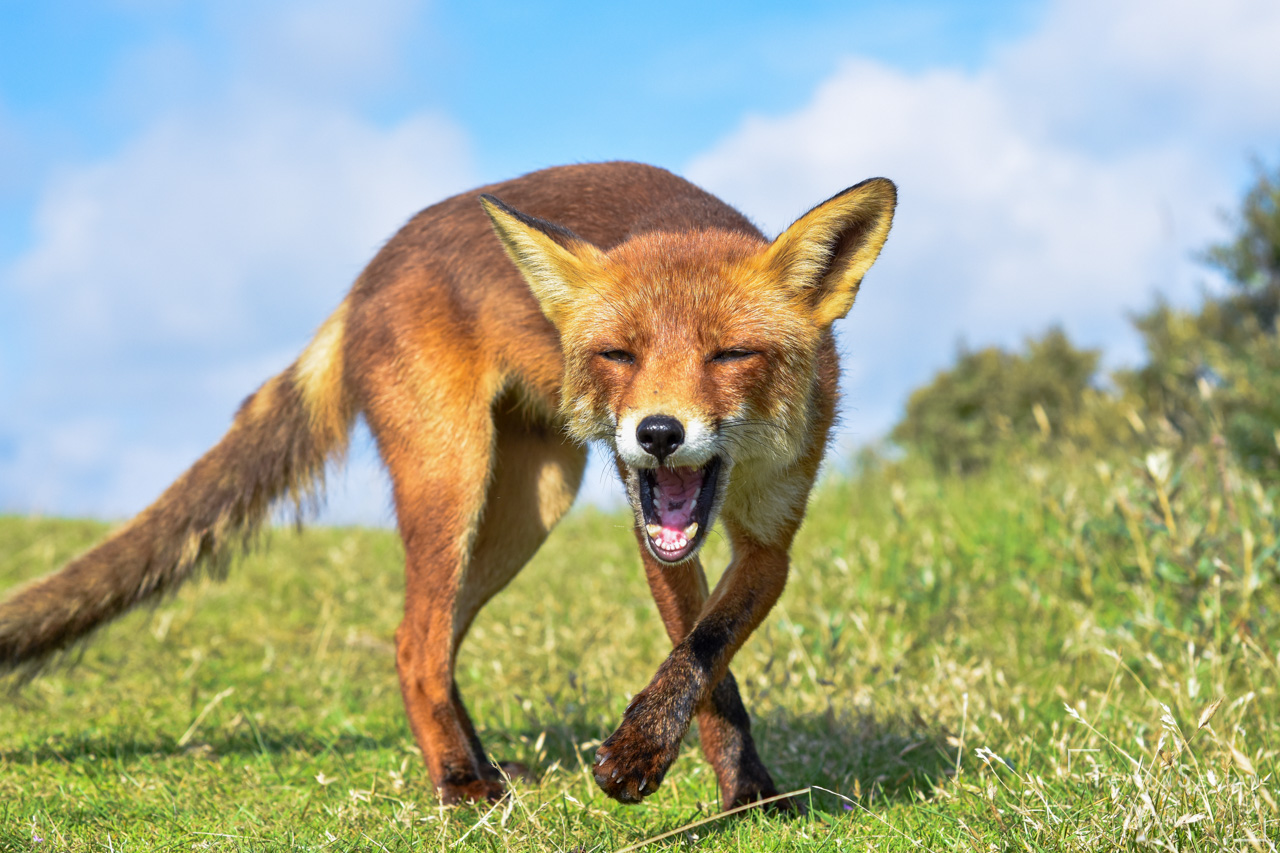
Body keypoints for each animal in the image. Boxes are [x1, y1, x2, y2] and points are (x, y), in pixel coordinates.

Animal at [0, 161, 895, 809]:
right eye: (619, 355)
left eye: (731, 355)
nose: (658, 434)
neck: (736, 480)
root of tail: (368, 273)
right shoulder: (653, 526)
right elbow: (708, 667)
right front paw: (674, 770)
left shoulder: (771, 543)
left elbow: (707, 652)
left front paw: (742, 790)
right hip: (451, 475)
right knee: (413, 642)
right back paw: (461, 783)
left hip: (529, 503)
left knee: (441, 637)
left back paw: (481, 764)